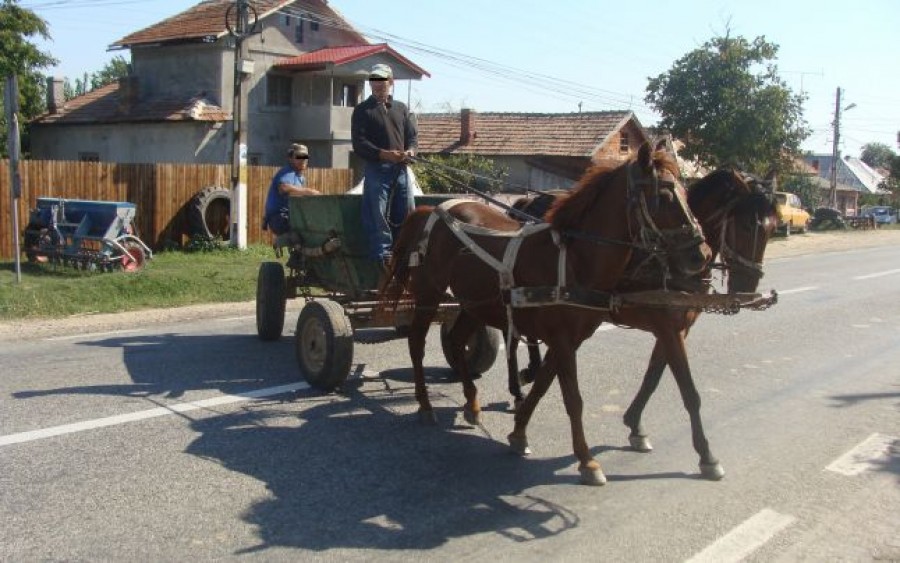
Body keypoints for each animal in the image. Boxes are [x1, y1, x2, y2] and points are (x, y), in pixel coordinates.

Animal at [380, 143, 712, 486]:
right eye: (666, 194)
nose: (700, 254)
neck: (574, 259)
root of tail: (432, 211)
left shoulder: (569, 339)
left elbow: (542, 384)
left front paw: (519, 434)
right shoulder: (566, 339)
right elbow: (573, 399)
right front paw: (587, 461)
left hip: (476, 302)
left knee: (457, 341)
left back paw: (471, 403)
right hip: (429, 294)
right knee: (417, 344)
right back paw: (425, 404)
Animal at [502, 166, 776, 480]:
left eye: (773, 228)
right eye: (746, 226)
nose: (747, 286)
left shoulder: (675, 330)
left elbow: (652, 377)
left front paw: (635, 425)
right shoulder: (668, 329)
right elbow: (688, 390)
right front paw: (707, 455)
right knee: (514, 339)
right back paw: (519, 382)